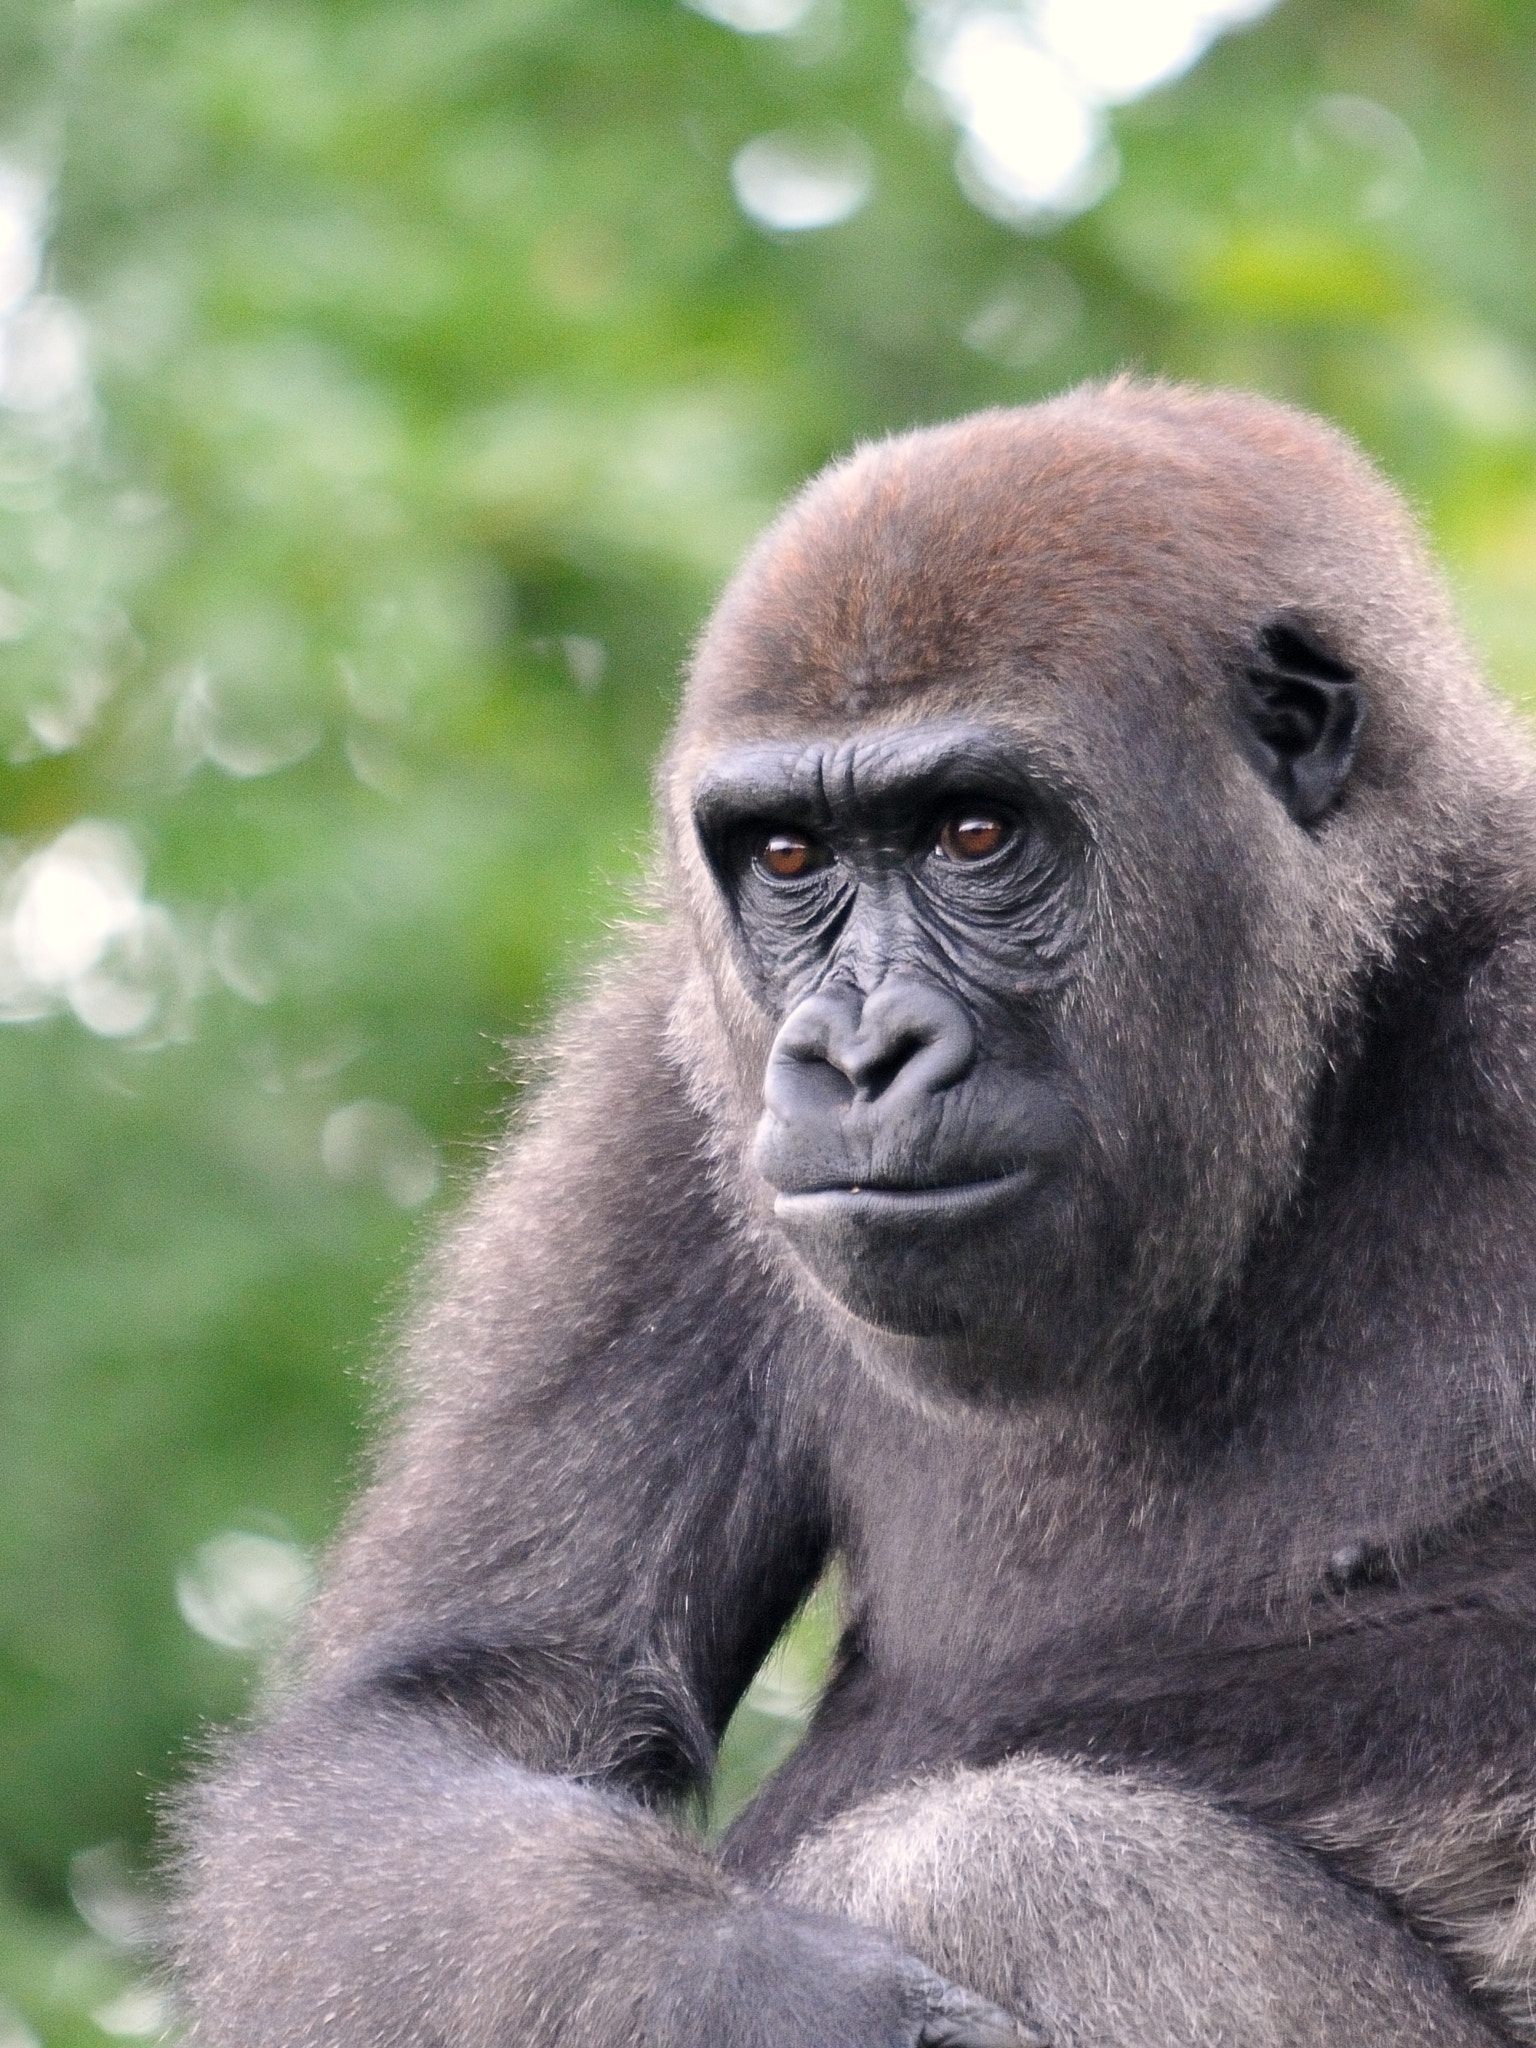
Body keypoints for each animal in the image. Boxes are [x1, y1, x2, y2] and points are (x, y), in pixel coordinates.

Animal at [171, 379, 1536, 2047]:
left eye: (974, 834)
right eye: (788, 856)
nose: (858, 1053)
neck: (1352, 1024)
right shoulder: (662, 1079)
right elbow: (442, 1719)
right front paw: (766, 1992)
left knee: (1008, 1861)